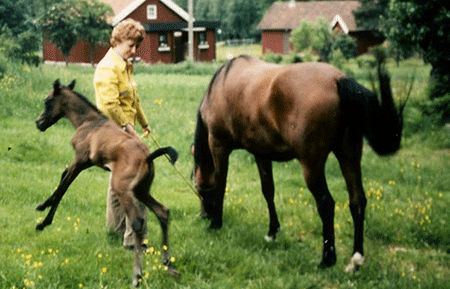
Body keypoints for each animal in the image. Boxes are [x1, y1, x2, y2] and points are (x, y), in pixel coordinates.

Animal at [35, 79, 179, 286]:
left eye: (47, 101)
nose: (38, 123)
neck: (88, 122)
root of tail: (148, 156)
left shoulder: (80, 160)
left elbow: (63, 186)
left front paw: (42, 213)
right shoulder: (85, 162)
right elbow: (63, 178)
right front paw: (43, 217)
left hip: (123, 189)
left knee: (137, 222)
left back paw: (137, 275)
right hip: (142, 190)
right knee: (163, 212)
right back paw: (168, 265)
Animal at [192, 54, 402, 270]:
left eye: (198, 189)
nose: (204, 215)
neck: (221, 84)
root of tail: (338, 80)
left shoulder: (218, 145)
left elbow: (220, 184)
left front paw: (216, 224)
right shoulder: (261, 153)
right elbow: (268, 190)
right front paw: (272, 232)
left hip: (311, 165)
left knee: (326, 204)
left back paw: (327, 259)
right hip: (348, 156)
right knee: (357, 201)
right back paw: (356, 260)